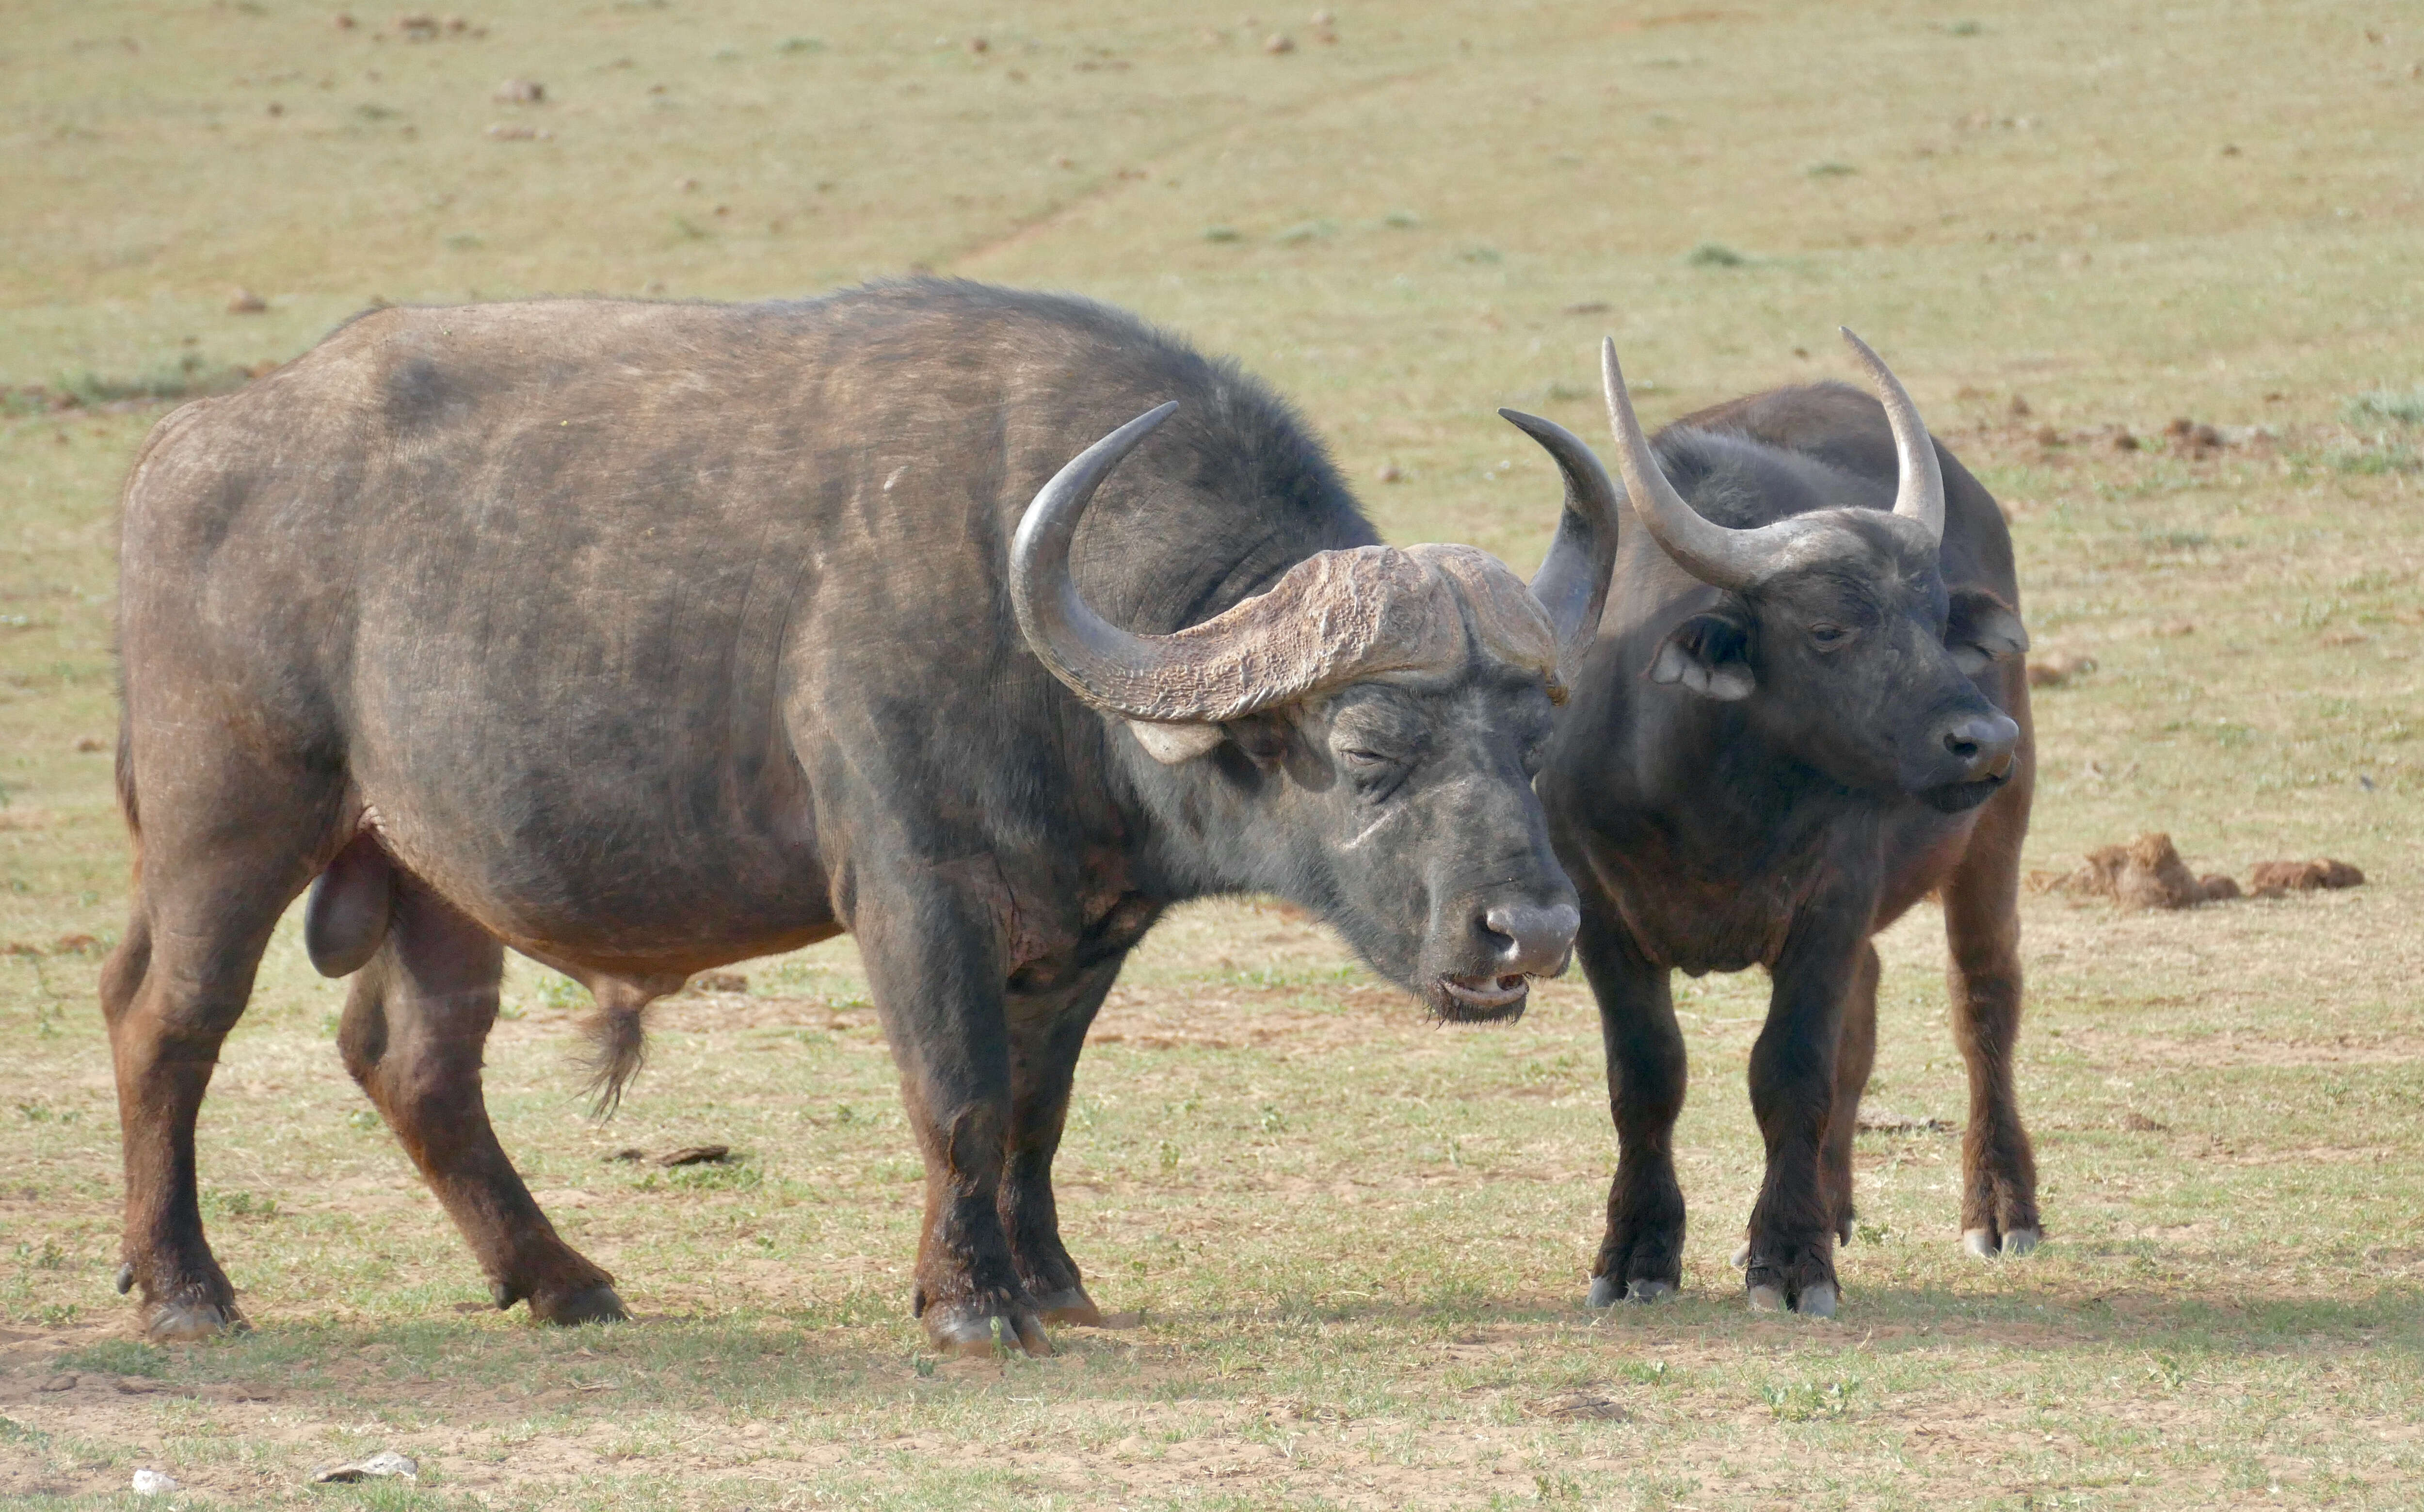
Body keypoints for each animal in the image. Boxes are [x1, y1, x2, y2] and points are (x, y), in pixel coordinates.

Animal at [104, 277, 1619, 1357]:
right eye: (1368, 746)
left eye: (1535, 736)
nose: (1533, 929)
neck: (1041, 642)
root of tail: (183, 450)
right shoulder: (912, 891)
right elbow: (956, 1092)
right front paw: (968, 1302)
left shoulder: (1084, 928)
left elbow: (1034, 1108)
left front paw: (1047, 1279)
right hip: (228, 822)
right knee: (165, 1017)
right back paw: (185, 1288)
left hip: (429, 875)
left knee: (413, 1060)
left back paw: (562, 1277)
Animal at [1541, 337, 2036, 1318]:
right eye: (1826, 628)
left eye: (1935, 621)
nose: (1984, 739)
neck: (1709, 799)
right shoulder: (1599, 917)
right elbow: (1646, 1076)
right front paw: (1636, 1252)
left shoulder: (1828, 905)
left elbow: (1792, 1069)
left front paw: (1789, 1255)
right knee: (1870, 1005)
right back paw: (1834, 1198)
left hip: (1996, 836)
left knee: (1983, 999)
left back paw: (1999, 1208)